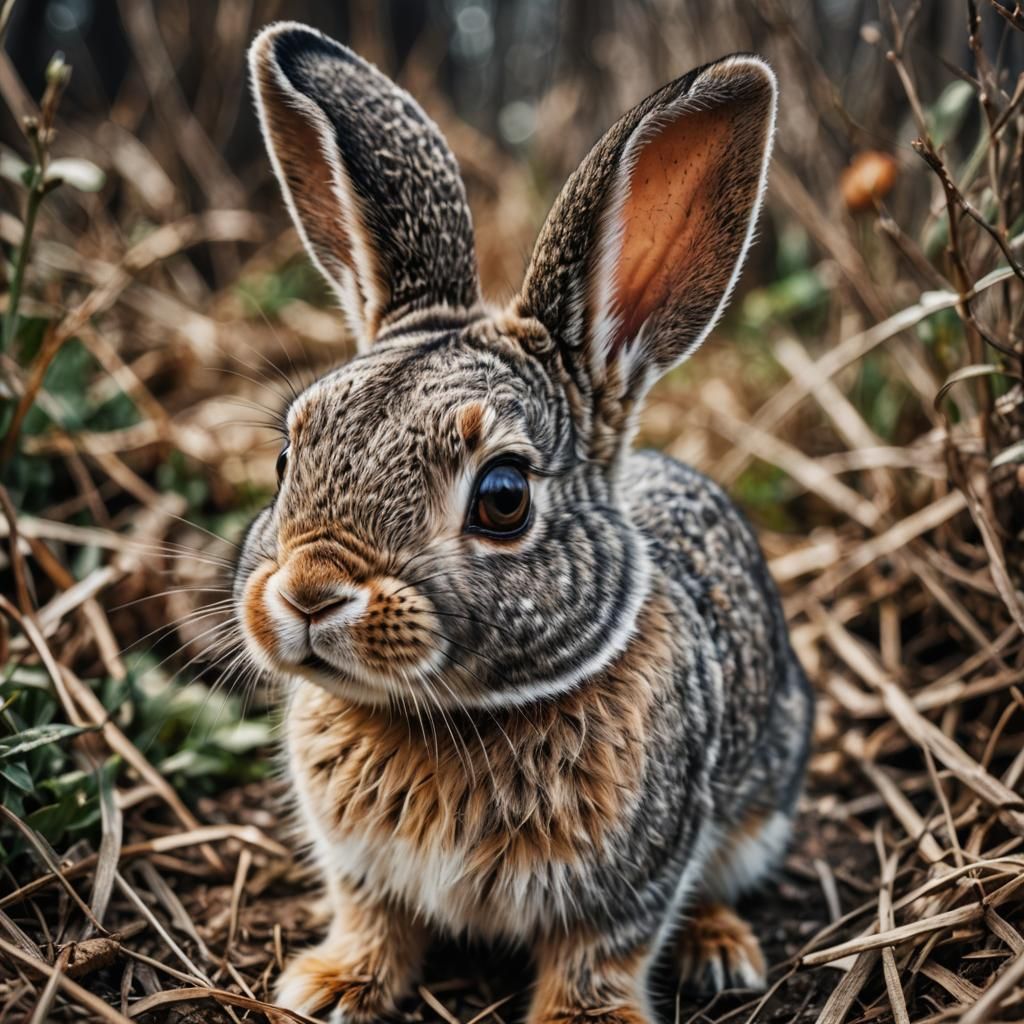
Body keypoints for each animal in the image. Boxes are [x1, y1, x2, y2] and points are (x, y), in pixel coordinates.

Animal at [236, 20, 814, 1024]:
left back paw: (722, 950)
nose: (309, 593)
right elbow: (373, 919)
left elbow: (599, 956)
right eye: (286, 458)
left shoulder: (631, 884)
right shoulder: (360, 870)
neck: (448, 715)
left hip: (758, 805)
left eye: (503, 497)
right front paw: (333, 986)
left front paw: (587, 1019)